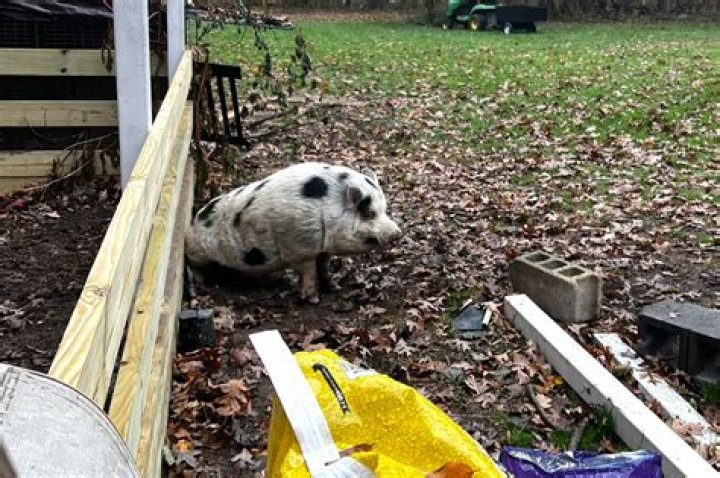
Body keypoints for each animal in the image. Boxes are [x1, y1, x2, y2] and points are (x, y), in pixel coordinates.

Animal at [185, 162, 401, 303]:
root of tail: (193, 222)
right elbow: (309, 273)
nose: (397, 233)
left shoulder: (322, 249)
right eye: (369, 213)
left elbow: (323, 267)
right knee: (195, 267)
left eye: (384, 209)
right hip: (199, 253)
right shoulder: (300, 249)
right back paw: (201, 285)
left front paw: (335, 288)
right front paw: (313, 300)